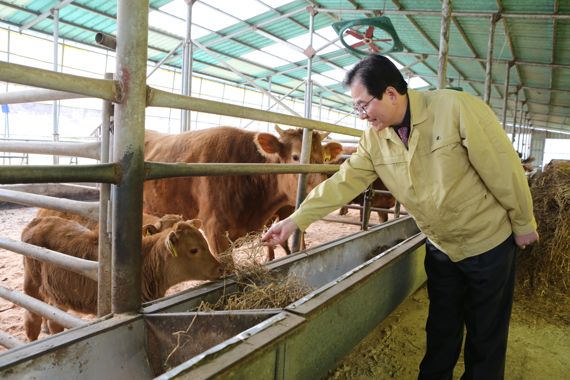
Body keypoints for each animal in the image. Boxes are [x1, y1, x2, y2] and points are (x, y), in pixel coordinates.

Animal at [21, 214, 222, 342]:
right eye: (194, 249)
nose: (220, 267)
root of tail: (39, 220)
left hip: (58, 294)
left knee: (54, 319)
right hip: (31, 286)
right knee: (33, 320)